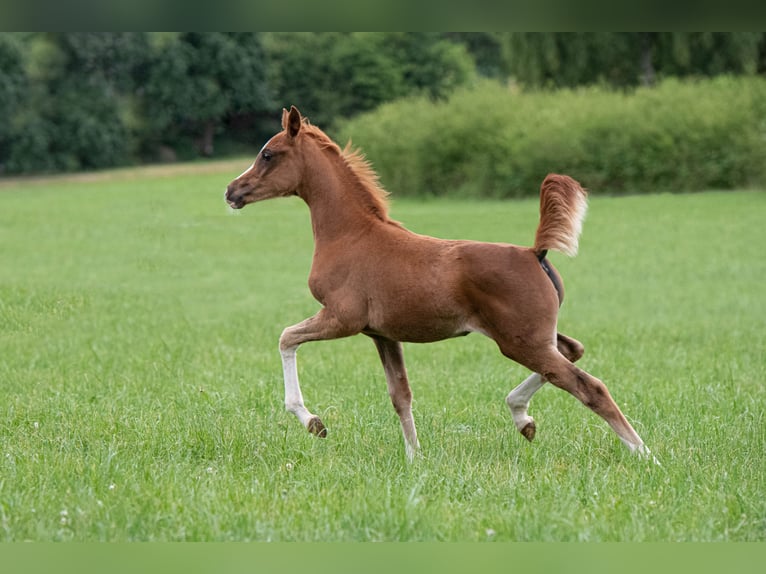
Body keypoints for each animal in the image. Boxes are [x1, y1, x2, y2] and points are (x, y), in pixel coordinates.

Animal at [225, 105, 652, 462]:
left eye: (268, 154)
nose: (231, 191)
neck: (351, 234)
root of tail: (535, 252)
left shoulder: (342, 318)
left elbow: (286, 337)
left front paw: (313, 421)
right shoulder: (382, 334)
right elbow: (401, 395)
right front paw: (415, 458)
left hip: (521, 341)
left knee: (589, 386)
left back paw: (645, 455)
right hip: (531, 336)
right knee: (572, 351)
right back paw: (523, 418)